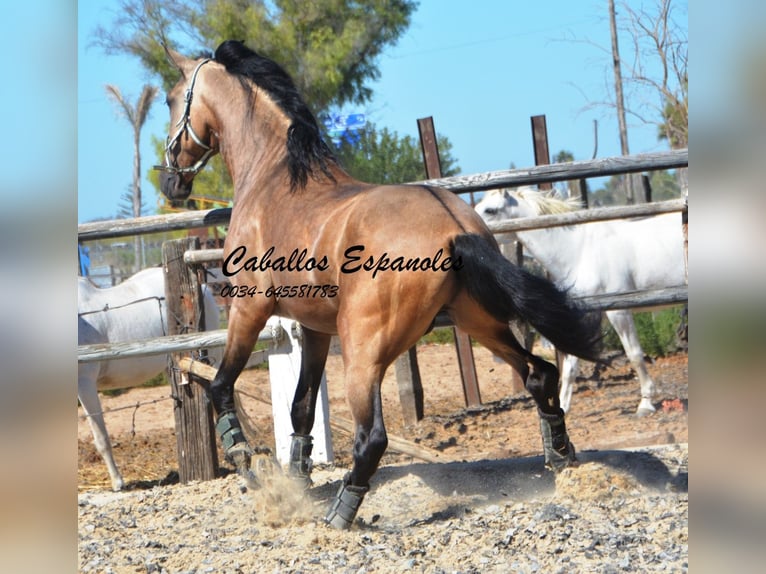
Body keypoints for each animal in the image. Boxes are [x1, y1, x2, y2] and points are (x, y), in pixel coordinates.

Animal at [154, 40, 600, 532]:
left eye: (171, 100)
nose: (170, 180)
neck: (273, 180)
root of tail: (455, 229)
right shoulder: (315, 329)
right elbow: (301, 409)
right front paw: (297, 480)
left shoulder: (250, 309)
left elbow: (220, 386)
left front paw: (250, 466)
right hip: (478, 323)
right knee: (540, 374)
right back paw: (561, 457)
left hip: (364, 350)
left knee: (372, 437)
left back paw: (339, 514)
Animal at [476, 190, 688, 418]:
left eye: (490, 210)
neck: (579, 251)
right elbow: (570, 366)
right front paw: (563, 406)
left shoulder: (619, 312)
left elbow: (635, 354)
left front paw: (646, 404)